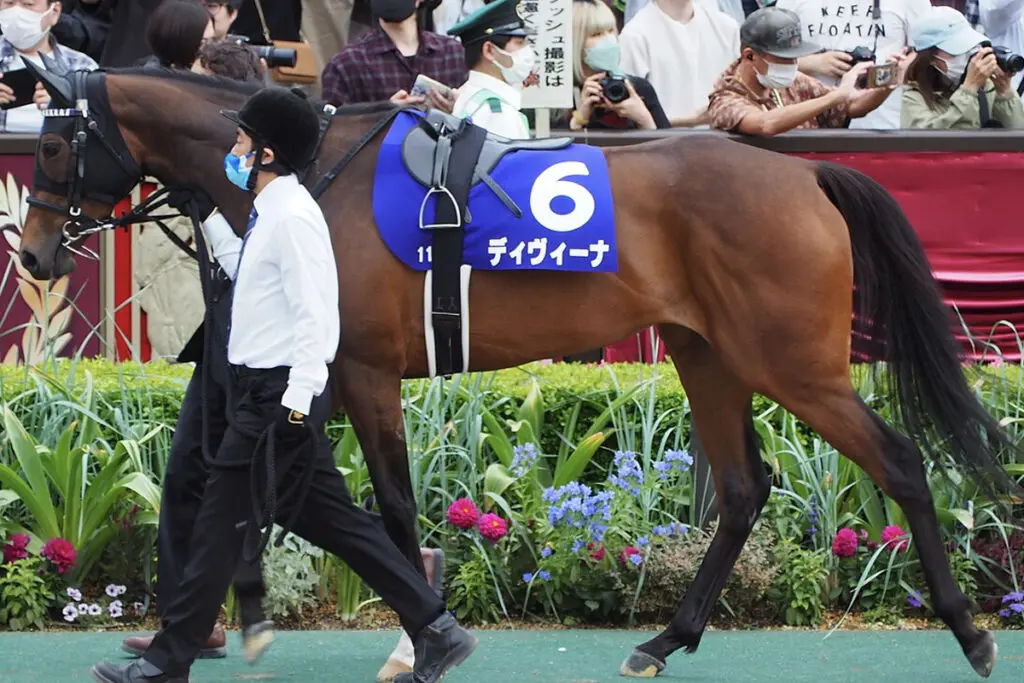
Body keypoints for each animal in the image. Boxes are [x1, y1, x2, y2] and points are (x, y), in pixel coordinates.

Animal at [17, 65, 1021, 680]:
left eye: (56, 147)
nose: (31, 256)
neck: (312, 175)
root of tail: (806, 175)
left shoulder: (362, 367)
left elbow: (383, 506)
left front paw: (420, 635)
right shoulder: (317, 369)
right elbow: (261, 482)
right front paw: (233, 620)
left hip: (791, 362)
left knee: (898, 460)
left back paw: (971, 632)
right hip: (710, 353)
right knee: (743, 488)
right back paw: (665, 637)